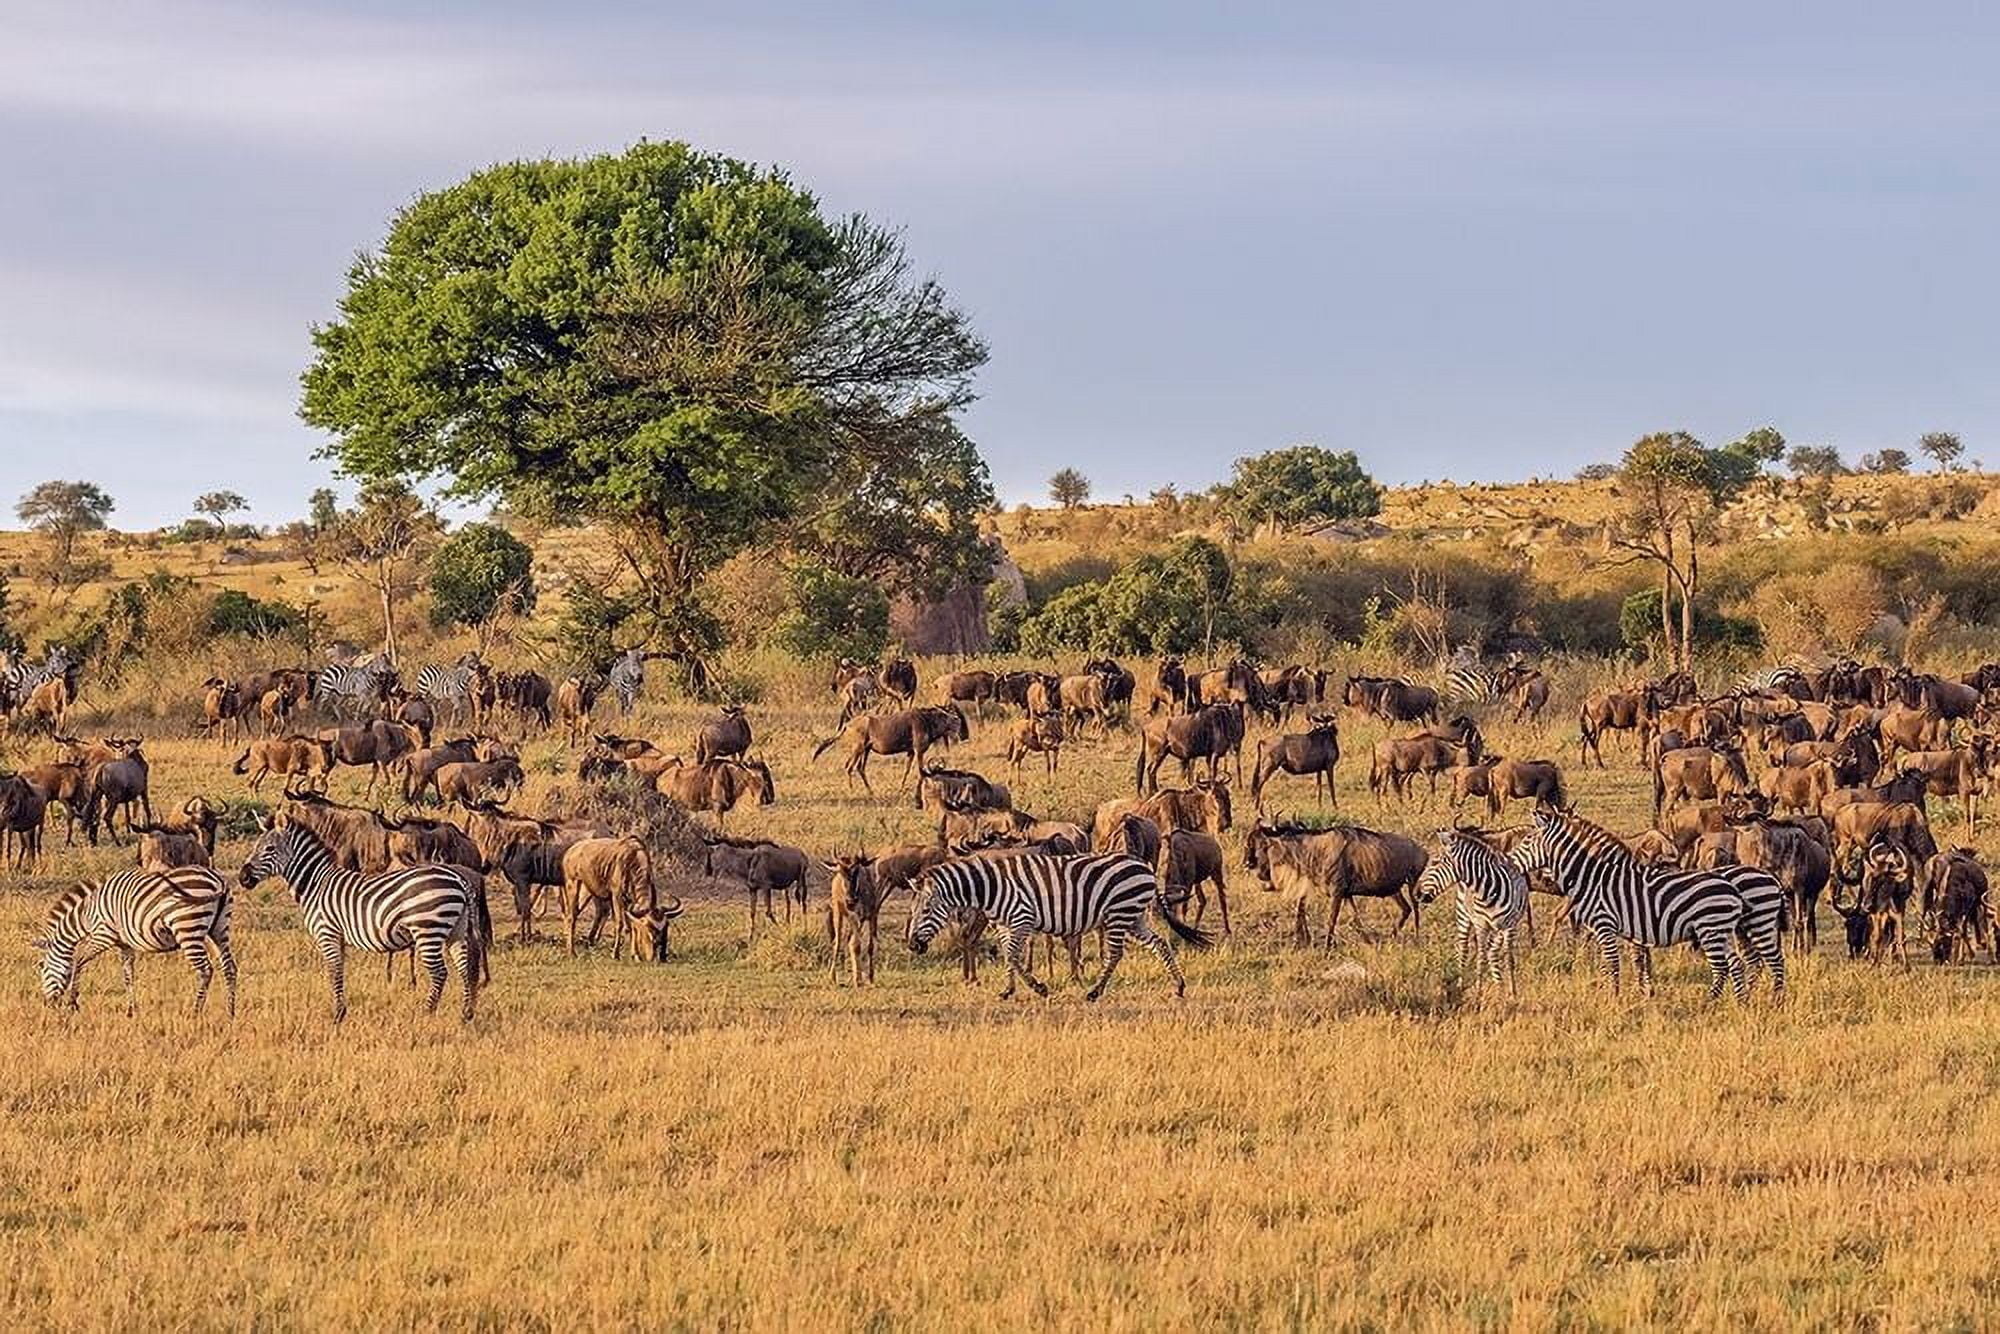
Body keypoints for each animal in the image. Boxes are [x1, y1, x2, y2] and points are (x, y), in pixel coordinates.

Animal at [37, 865, 237, 1016]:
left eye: (43, 969)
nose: (47, 1005)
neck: (87, 913)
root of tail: (219, 880)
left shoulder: (103, 935)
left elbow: (78, 961)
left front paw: (73, 1003)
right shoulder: (125, 944)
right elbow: (128, 975)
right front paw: (131, 1010)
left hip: (188, 927)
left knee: (205, 970)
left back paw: (195, 1012)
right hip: (219, 930)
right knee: (229, 967)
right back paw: (230, 1013)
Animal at [239, 818, 481, 1022]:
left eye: (269, 849)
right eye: (255, 847)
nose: (243, 878)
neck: (316, 884)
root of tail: (457, 878)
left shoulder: (327, 933)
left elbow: (334, 971)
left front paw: (337, 1016)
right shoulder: (338, 936)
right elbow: (340, 971)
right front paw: (341, 1011)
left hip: (428, 929)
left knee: (440, 973)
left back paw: (426, 1013)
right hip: (456, 930)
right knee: (464, 969)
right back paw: (466, 1015)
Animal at [907, 852, 1212, 1000]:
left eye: (926, 910)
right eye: (911, 911)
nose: (912, 945)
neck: (989, 888)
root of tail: (1145, 867)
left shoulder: (1022, 918)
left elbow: (1013, 956)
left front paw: (1037, 988)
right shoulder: (1005, 925)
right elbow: (1009, 957)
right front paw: (1010, 990)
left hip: (1119, 912)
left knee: (1115, 953)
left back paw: (1094, 992)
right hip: (1134, 916)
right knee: (1159, 944)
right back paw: (1178, 985)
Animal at [1424, 828, 1530, 993]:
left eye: (1435, 863)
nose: (1417, 894)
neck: (1488, 890)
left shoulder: (1509, 926)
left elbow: (1509, 959)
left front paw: (1512, 993)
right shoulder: (1481, 925)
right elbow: (1480, 958)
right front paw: (1479, 993)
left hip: (1499, 929)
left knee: (1493, 953)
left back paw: (1499, 987)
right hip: (1463, 916)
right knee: (1463, 949)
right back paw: (1461, 985)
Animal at [1508, 808, 1751, 1001]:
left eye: (1527, 841)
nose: (1509, 861)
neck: (1595, 875)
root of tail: (1732, 889)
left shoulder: (1607, 924)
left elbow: (1618, 962)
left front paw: (1616, 997)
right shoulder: (1628, 927)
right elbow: (1627, 960)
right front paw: (1633, 990)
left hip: (1711, 930)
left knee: (1722, 967)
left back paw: (1710, 1002)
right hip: (1720, 931)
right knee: (1735, 964)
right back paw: (1740, 1002)